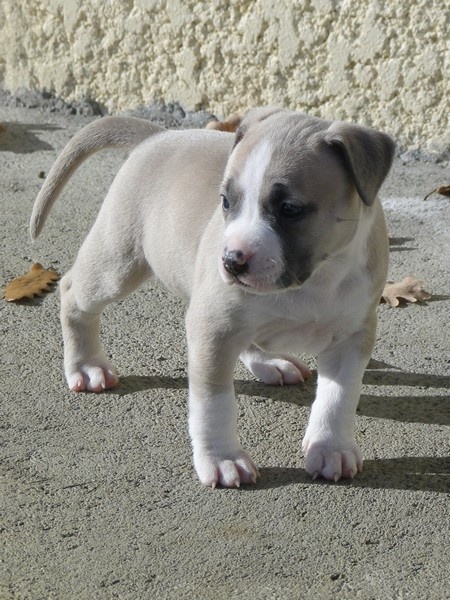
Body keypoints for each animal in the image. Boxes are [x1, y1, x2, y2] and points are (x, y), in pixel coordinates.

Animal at [30, 107, 395, 488]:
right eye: (226, 202)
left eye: (290, 209)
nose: (231, 261)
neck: (317, 279)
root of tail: (158, 136)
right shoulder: (212, 331)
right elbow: (214, 404)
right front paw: (222, 459)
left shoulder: (352, 337)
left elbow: (339, 396)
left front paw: (330, 447)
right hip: (118, 263)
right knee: (73, 292)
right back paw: (86, 365)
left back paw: (270, 361)